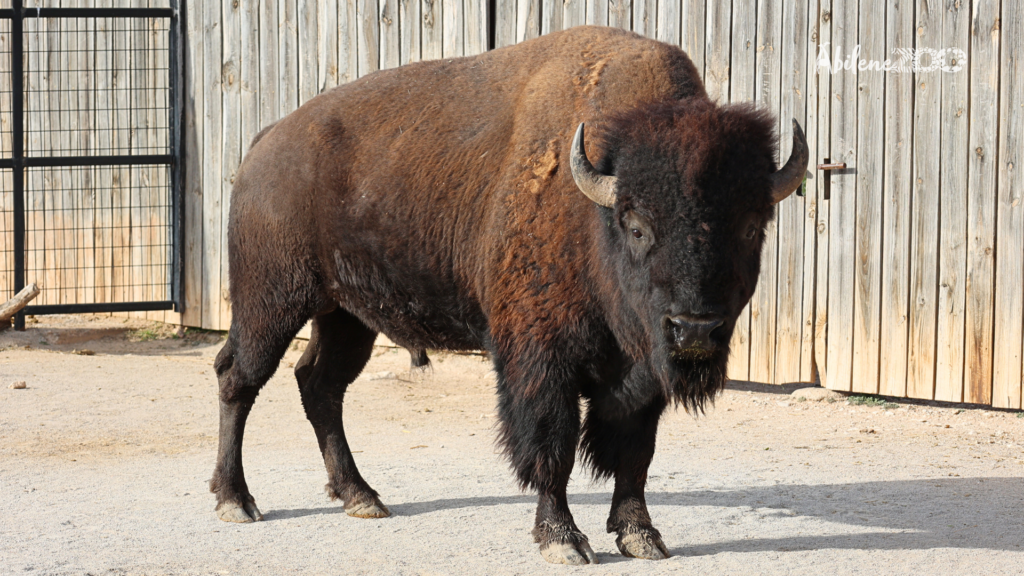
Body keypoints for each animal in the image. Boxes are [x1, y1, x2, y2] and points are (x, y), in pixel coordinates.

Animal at [209, 24, 806, 561]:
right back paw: (236, 501)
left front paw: (642, 536)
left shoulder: (643, 369)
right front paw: (563, 540)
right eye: (637, 225)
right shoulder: (540, 357)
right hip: (272, 301)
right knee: (239, 377)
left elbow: (635, 451)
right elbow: (551, 446)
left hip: (346, 314)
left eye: (752, 226)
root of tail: (265, 145)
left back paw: (361, 497)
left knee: (320, 385)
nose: (695, 329)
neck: (592, 214)